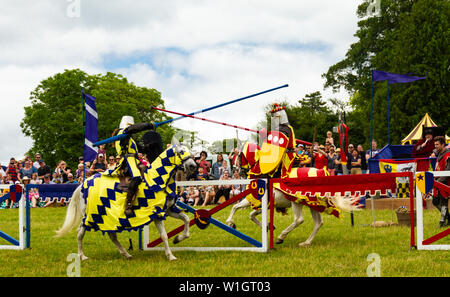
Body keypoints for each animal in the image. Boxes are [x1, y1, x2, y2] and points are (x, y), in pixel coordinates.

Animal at [56, 145, 197, 260]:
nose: (193, 166)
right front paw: (170, 256)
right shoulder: (157, 214)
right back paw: (82, 256)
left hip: (108, 218)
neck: (157, 181)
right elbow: (164, 236)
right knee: (80, 233)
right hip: (91, 215)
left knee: (112, 235)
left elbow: (186, 219)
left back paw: (126, 254)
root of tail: (83, 184)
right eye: (181, 151)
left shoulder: (168, 210)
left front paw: (178, 239)